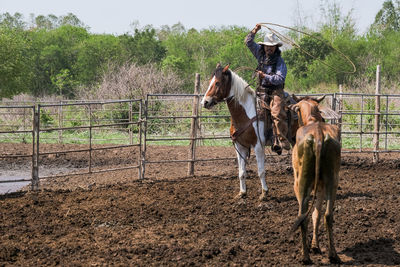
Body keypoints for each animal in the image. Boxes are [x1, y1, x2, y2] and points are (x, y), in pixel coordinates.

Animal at [200, 63, 268, 200]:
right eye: (210, 82)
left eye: (217, 83)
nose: (205, 102)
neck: (246, 114)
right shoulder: (240, 146)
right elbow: (241, 172)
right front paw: (242, 192)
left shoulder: (258, 146)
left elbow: (261, 171)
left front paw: (264, 193)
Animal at [290, 95, 342, 264]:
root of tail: (318, 136)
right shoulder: (321, 187)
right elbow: (316, 214)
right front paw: (315, 245)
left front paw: (313, 246)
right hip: (332, 181)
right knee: (327, 215)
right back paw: (333, 255)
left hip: (302, 183)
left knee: (302, 217)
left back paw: (305, 256)